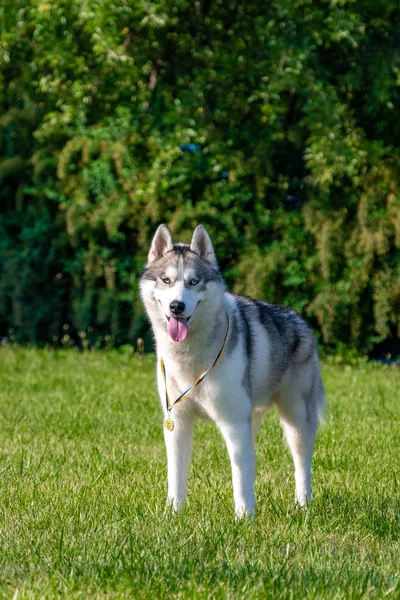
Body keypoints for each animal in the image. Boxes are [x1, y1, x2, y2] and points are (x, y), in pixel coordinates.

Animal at [139, 224, 326, 516]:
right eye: (166, 280)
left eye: (194, 282)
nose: (176, 306)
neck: (190, 358)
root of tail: (301, 321)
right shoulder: (177, 421)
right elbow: (176, 473)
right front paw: (173, 513)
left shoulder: (233, 421)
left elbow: (239, 471)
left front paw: (244, 517)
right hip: (253, 416)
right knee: (254, 457)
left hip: (296, 418)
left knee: (301, 463)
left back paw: (303, 504)